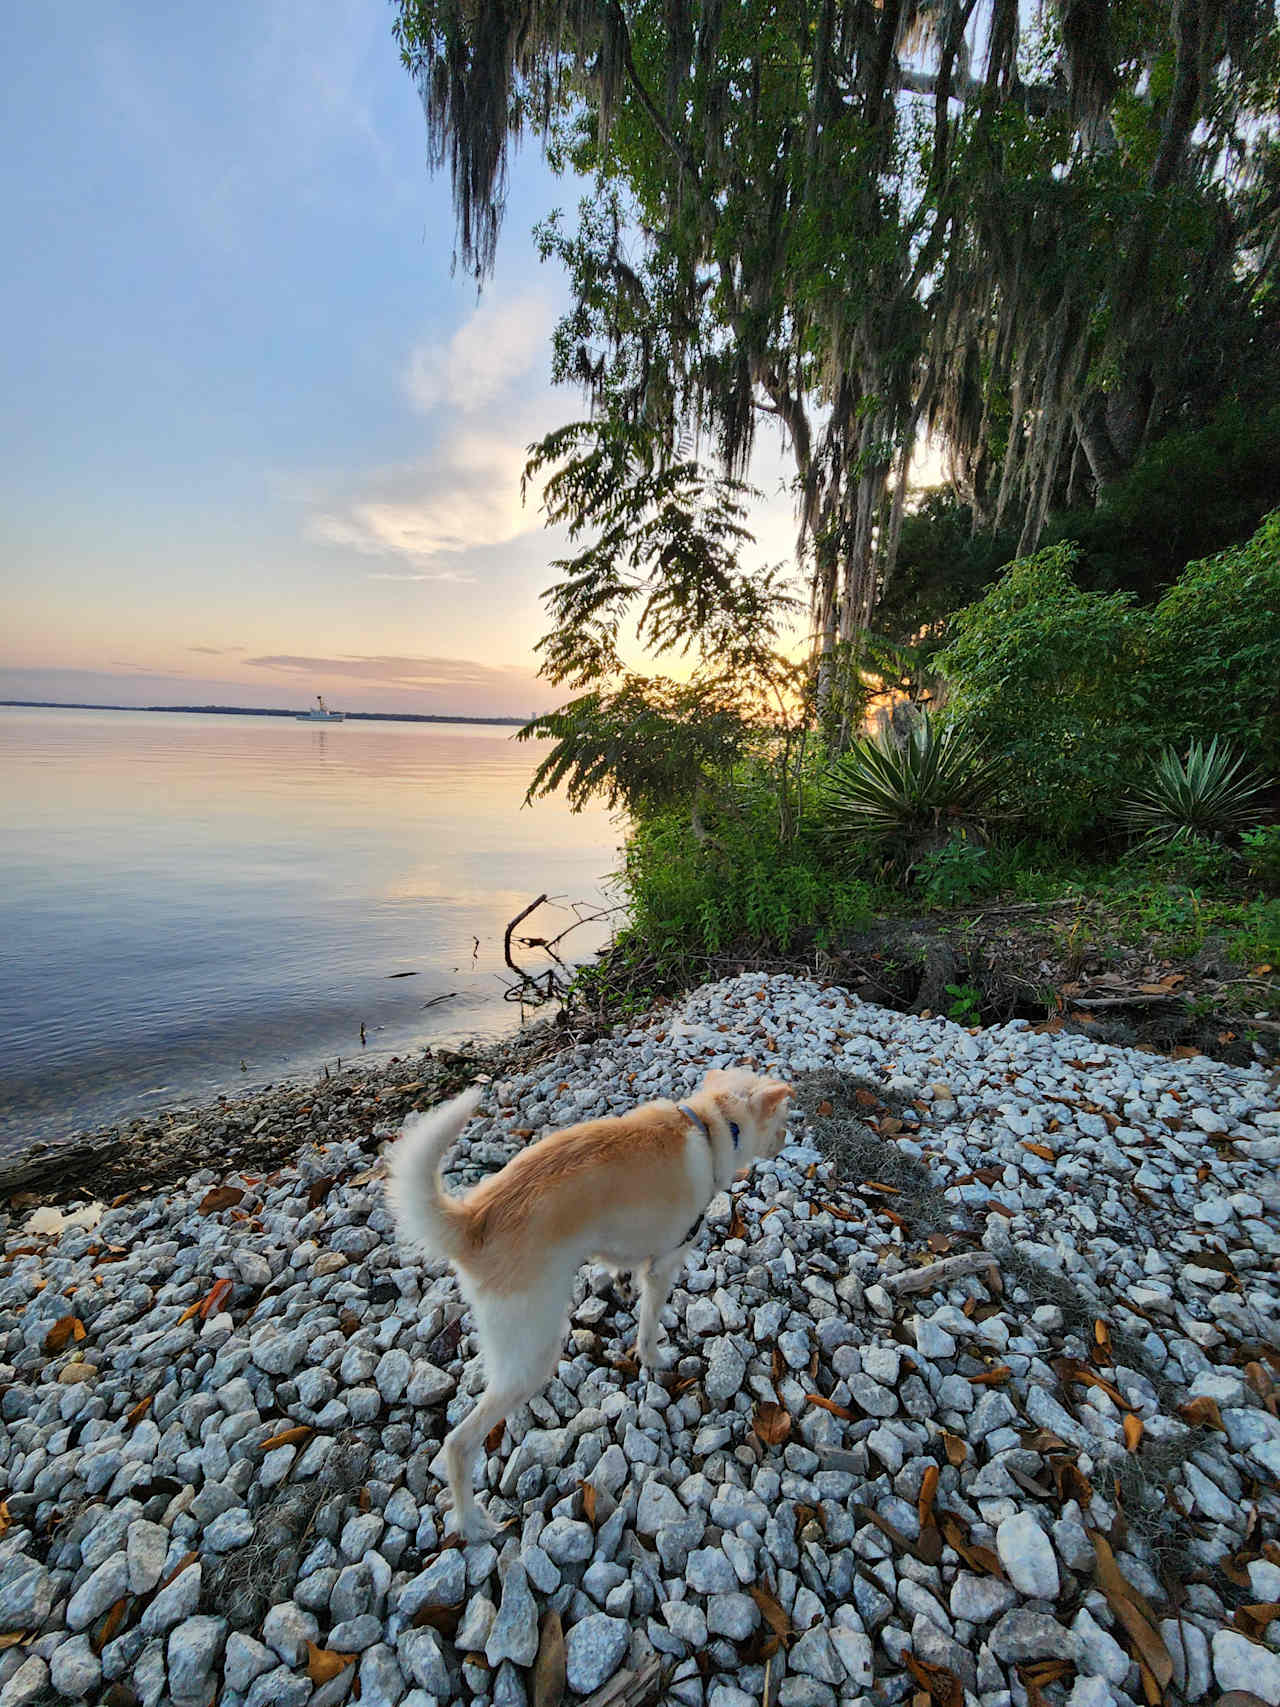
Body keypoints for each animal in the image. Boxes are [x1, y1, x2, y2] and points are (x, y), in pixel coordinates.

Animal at [385, 1065, 798, 1536]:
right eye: (783, 1118)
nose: (788, 1138)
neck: (712, 1124)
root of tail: (474, 1222)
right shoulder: (664, 1265)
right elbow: (649, 1325)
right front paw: (654, 1358)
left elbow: (619, 1268)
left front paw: (619, 1285)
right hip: (533, 1350)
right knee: (458, 1444)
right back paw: (472, 1524)